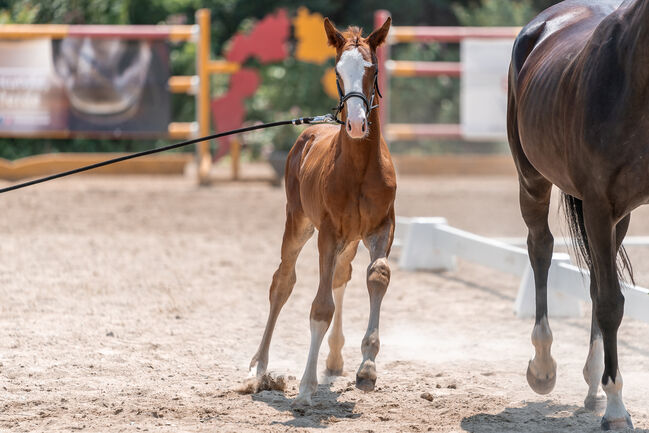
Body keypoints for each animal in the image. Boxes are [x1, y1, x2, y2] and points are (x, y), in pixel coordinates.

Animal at [249, 15, 394, 404]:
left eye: (373, 69)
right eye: (337, 71)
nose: (356, 124)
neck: (359, 167)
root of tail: (309, 133)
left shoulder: (381, 227)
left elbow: (377, 275)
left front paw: (367, 368)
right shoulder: (328, 233)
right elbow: (320, 307)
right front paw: (305, 386)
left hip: (350, 239)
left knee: (342, 276)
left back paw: (335, 359)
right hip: (298, 223)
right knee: (282, 283)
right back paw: (259, 367)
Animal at [506, 0, 648, 426]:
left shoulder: (611, 212)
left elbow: (604, 293)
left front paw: (606, 392)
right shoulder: (599, 205)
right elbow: (610, 303)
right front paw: (617, 409)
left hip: (619, 217)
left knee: (596, 279)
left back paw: (592, 384)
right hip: (532, 180)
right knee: (541, 249)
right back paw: (543, 368)